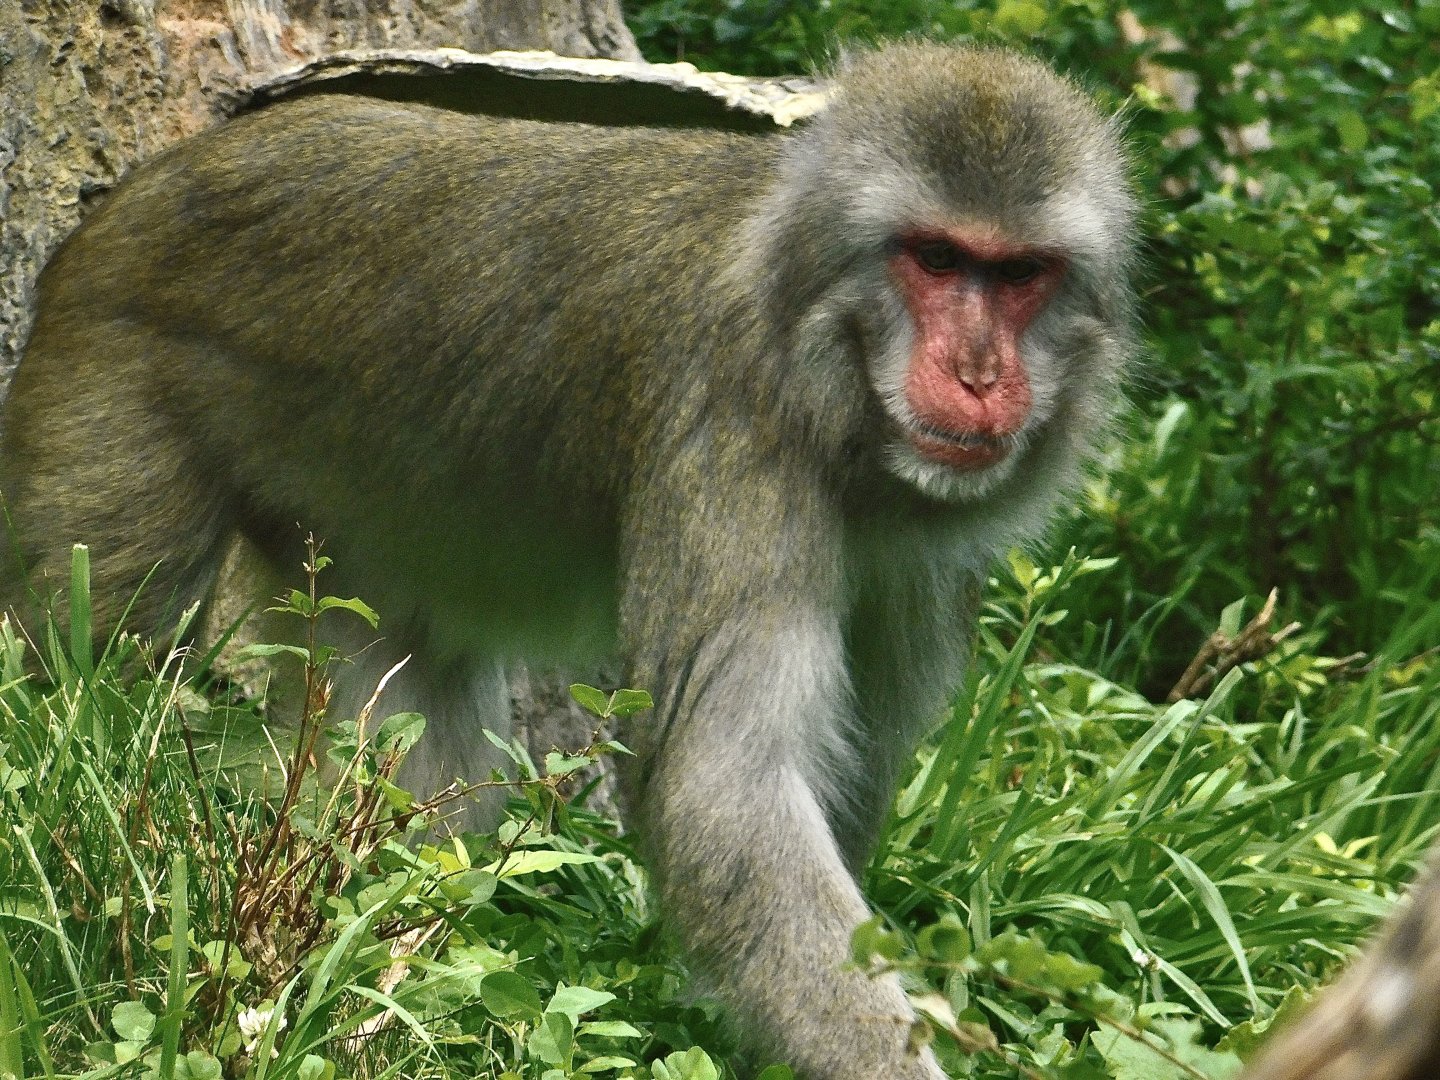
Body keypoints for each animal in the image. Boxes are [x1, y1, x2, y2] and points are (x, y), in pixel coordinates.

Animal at [0, 43, 1136, 1079]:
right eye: (937, 260)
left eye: (1020, 273)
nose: (979, 376)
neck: (829, 371)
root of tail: (134, 192)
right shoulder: (732, 432)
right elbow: (726, 794)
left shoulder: (922, 545)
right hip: (107, 369)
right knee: (98, 669)